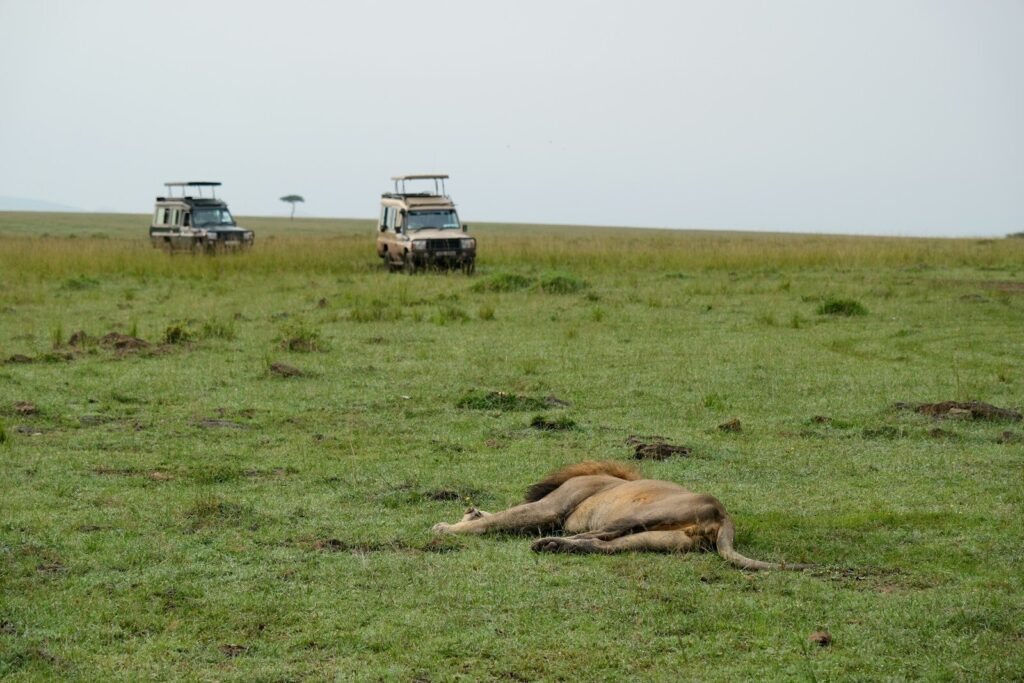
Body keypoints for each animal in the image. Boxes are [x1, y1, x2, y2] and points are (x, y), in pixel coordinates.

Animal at [432, 461, 809, 570]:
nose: (466, 510)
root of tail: (724, 517)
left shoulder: (552, 507)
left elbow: (499, 518)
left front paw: (446, 528)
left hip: (643, 512)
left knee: (598, 534)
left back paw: (550, 543)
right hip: (658, 539)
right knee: (604, 544)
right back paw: (557, 546)